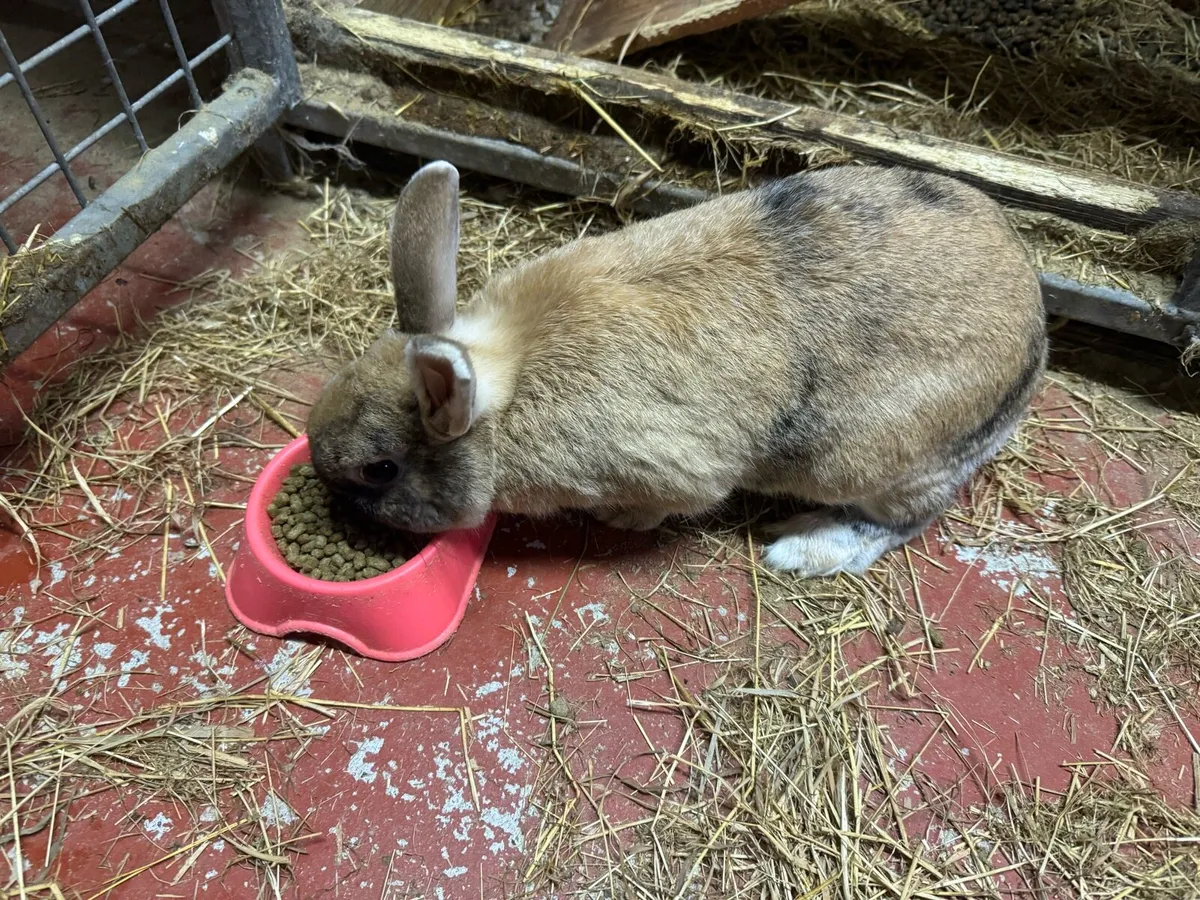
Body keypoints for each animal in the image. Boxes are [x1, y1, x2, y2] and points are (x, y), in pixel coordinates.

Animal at [306, 160, 1046, 577]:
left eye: (379, 470)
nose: (331, 501)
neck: (504, 393)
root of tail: (1035, 335)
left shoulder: (673, 472)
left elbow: (675, 501)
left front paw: (621, 522)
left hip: (863, 458)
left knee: (906, 519)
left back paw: (804, 550)